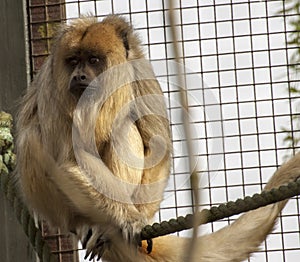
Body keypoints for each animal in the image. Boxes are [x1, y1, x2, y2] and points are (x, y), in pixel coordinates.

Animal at [16, 15, 300, 260]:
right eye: (74, 61)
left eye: (94, 60)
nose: (79, 76)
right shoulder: (53, 88)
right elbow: (70, 159)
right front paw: (128, 218)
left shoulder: (138, 69)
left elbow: (158, 149)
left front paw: (137, 217)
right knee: (32, 138)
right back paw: (90, 223)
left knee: (123, 127)